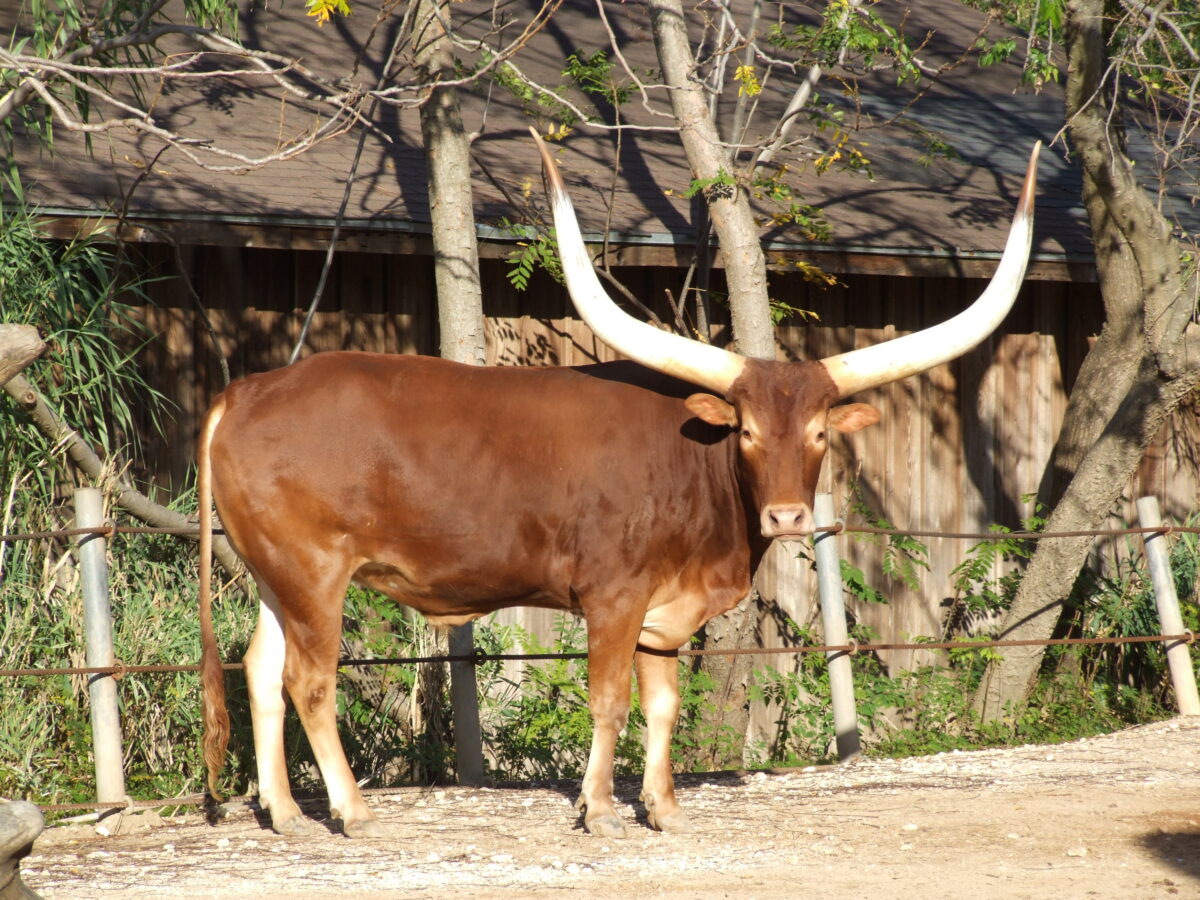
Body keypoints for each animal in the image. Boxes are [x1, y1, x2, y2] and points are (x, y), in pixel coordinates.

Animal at [199, 134, 1039, 839]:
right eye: (746, 432)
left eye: (820, 435)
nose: (787, 516)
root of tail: (244, 393)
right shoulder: (613, 596)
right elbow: (609, 700)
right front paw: (599, 808)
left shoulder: (664, 610)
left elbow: (663, 703)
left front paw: (662, 807)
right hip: (314, 572)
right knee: (309, 679)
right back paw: (351, 809)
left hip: (276, 575)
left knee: (261, 671)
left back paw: (287, 815)